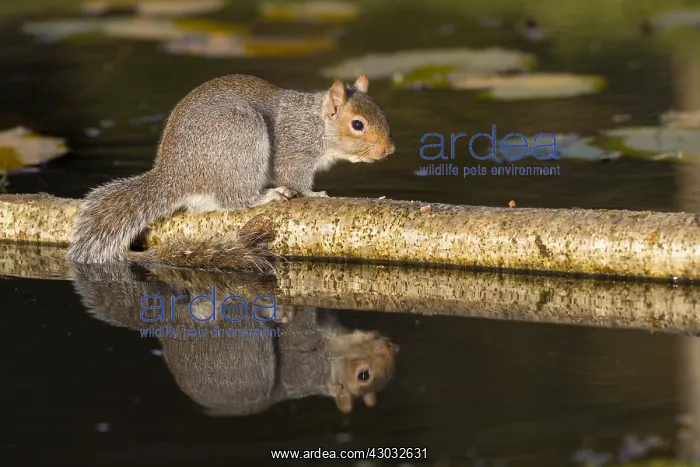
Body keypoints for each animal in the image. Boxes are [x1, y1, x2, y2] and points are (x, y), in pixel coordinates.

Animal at [66, 74, 395, 271]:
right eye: (357, 124)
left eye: (382, 112)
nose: (389, 149)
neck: (316, 123)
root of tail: (175, 174)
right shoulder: (294, 151)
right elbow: (295, 178)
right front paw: (314, 194)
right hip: (242, 140)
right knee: (234, 198)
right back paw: (268, 196)